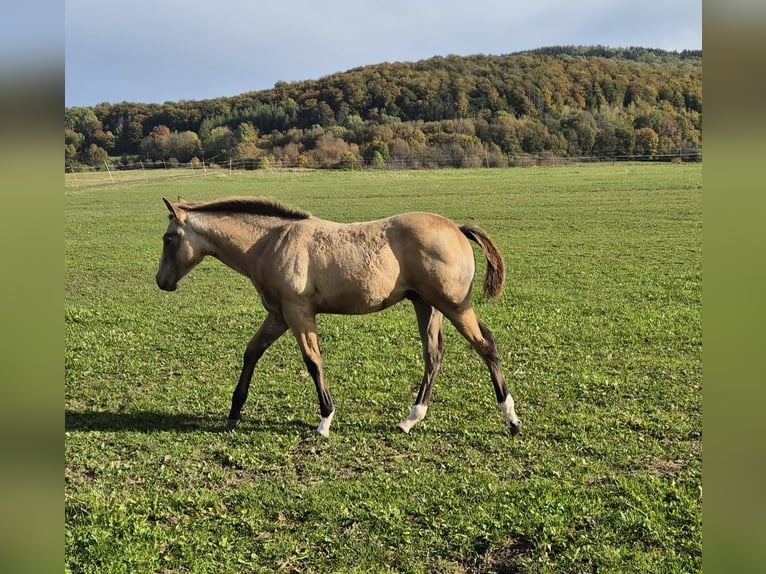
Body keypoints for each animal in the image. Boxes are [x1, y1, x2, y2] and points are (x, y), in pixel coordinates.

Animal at [158, 196, 524, 438]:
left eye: (168, 238)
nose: (161, 281)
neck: (271, 243)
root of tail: (458, 229)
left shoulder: (299, 313)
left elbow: (313, 362)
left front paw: (325, 420)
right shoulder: (279, 315)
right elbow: (252, 353)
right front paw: (234, 413)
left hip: (453, 305)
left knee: (485, 345)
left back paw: (511, 419)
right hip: (426, 305)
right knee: (434, 354)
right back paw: (411, 418)